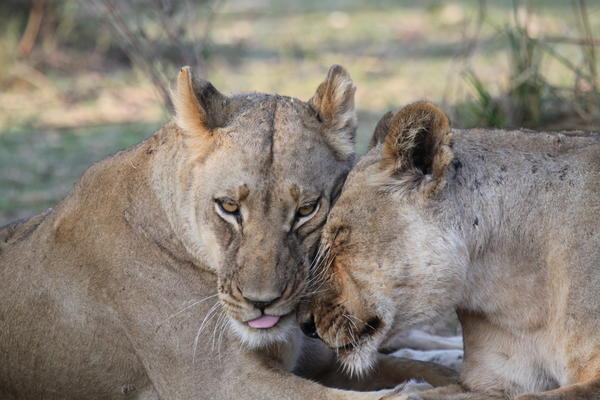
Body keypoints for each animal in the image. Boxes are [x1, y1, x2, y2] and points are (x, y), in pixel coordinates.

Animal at [0, 67, 454, 398]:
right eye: (229, 207)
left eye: (307, 210)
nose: (262, 303)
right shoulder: (221, 382)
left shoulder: (317, 358)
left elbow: (423, 370)